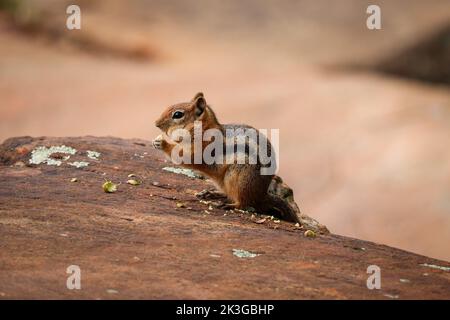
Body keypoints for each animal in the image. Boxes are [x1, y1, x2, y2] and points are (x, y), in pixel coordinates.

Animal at [154, 92, 302, 222]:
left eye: (177, 114)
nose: (156, 123)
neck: (202, 131)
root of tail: (262, 195)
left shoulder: (199, 151)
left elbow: (184, 157)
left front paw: (162, 143)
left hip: (238, 178)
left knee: (244, 203)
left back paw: (229, 205)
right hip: (223, 181)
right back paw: (213, 194)